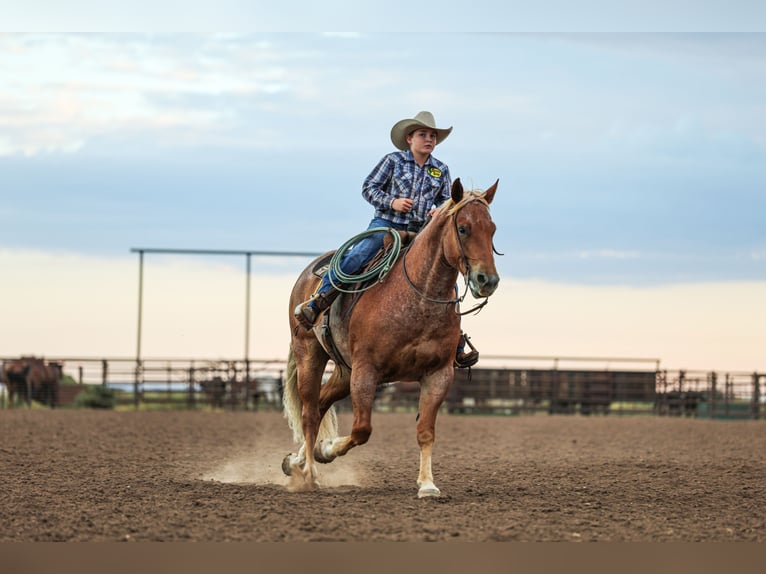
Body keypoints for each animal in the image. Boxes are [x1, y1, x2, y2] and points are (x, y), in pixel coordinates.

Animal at [282, 178, 500, 498]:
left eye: (492, 229)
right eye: (463, 228)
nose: (488, 280)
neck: (417, 299)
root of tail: (309, 272)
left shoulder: (438, 374)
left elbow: (425, 432)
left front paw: (427, 484)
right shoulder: (366, 371)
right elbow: (362, 429)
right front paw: (327, 449)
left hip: (344, 371)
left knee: (321, 403)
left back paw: (295, 462)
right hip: (309, 353)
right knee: (310, 412)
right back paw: (310, 472)